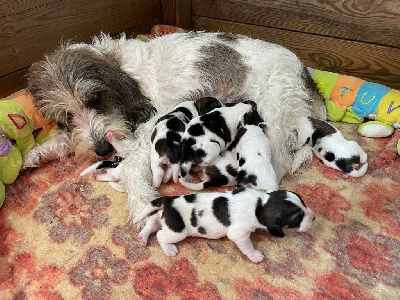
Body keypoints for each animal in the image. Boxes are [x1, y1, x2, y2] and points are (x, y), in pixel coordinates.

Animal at [27, 31, 328, 218]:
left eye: (95, 98)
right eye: (66, 116)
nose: (102, 150)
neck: (120, 66)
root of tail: (305, 75)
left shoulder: (149, 125)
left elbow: (132, 166)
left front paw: (142, 203)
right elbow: (65, 140)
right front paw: (33, 154)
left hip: (272, 113)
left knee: (279, 162)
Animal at [133, 189, 314, 264]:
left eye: (304, 201)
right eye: (297, 218)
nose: (314, 217)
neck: (260, 205)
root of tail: (169, 200)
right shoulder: (239, 234)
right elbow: (247, 246)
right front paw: (255, 255)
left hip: (165, 218)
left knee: (152, 221)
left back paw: (143, 237)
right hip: (177, 231)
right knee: (160, 235)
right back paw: (169, 249)